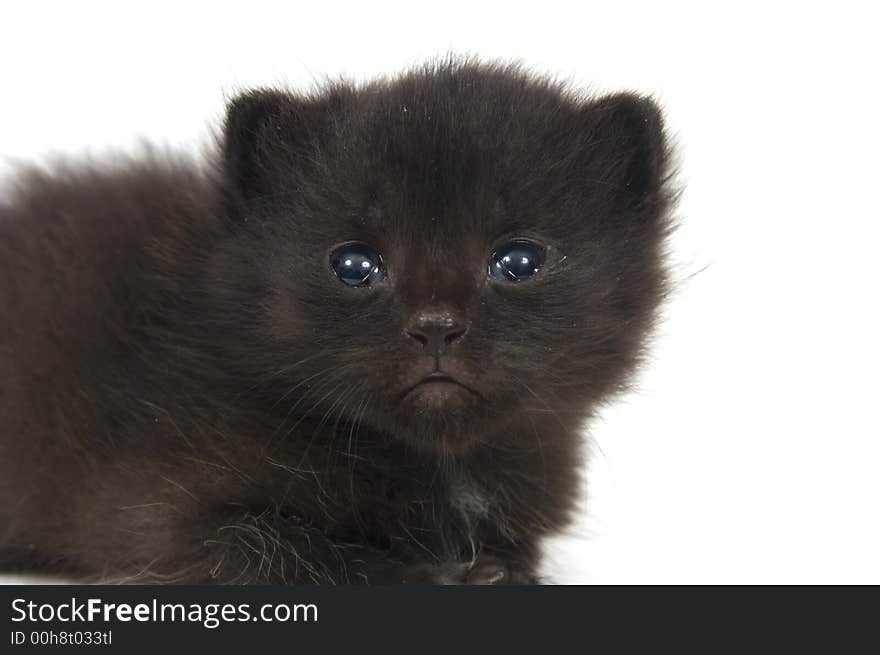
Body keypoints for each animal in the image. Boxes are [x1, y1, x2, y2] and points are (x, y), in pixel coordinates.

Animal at [0, 60, 672, 584]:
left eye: (520, 261)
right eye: (353, 265)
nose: (435, 326)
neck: (439, 463)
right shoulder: (153, 504)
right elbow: (284, 547)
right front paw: (439, 575)